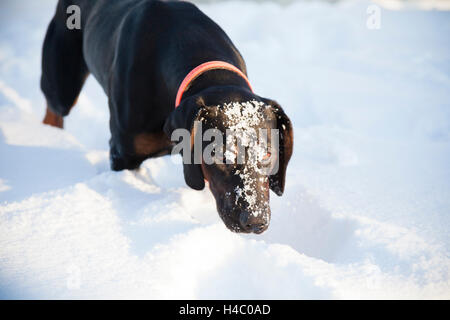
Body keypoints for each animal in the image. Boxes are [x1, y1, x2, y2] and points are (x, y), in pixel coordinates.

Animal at [40, 0, 294, 235]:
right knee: (54, 109)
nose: (255, 221)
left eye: (268, 154)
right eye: (220, 155)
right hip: (62, 82)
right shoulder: (123, 154)